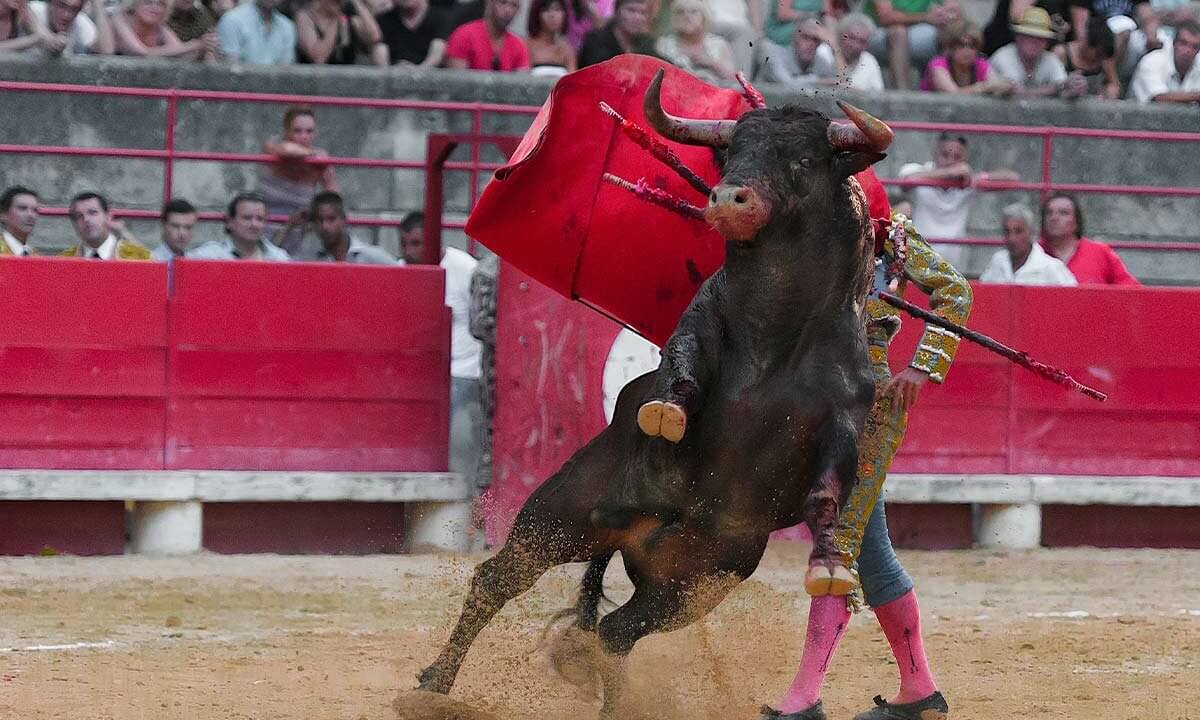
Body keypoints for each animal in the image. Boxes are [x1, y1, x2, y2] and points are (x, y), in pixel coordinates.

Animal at [417, 69, 897, 720]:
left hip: (689, 586)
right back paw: (433, 683)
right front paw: (666, 413)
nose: (727, 198)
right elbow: (682, 369)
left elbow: (826, 491)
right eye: (731, 153)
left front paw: (827, 563)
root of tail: (634, 536)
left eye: (803, 159)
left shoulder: (846, 417)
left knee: (614, 631)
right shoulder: (696, 331)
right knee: (500, 580)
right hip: (560, 512)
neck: (775, 334)